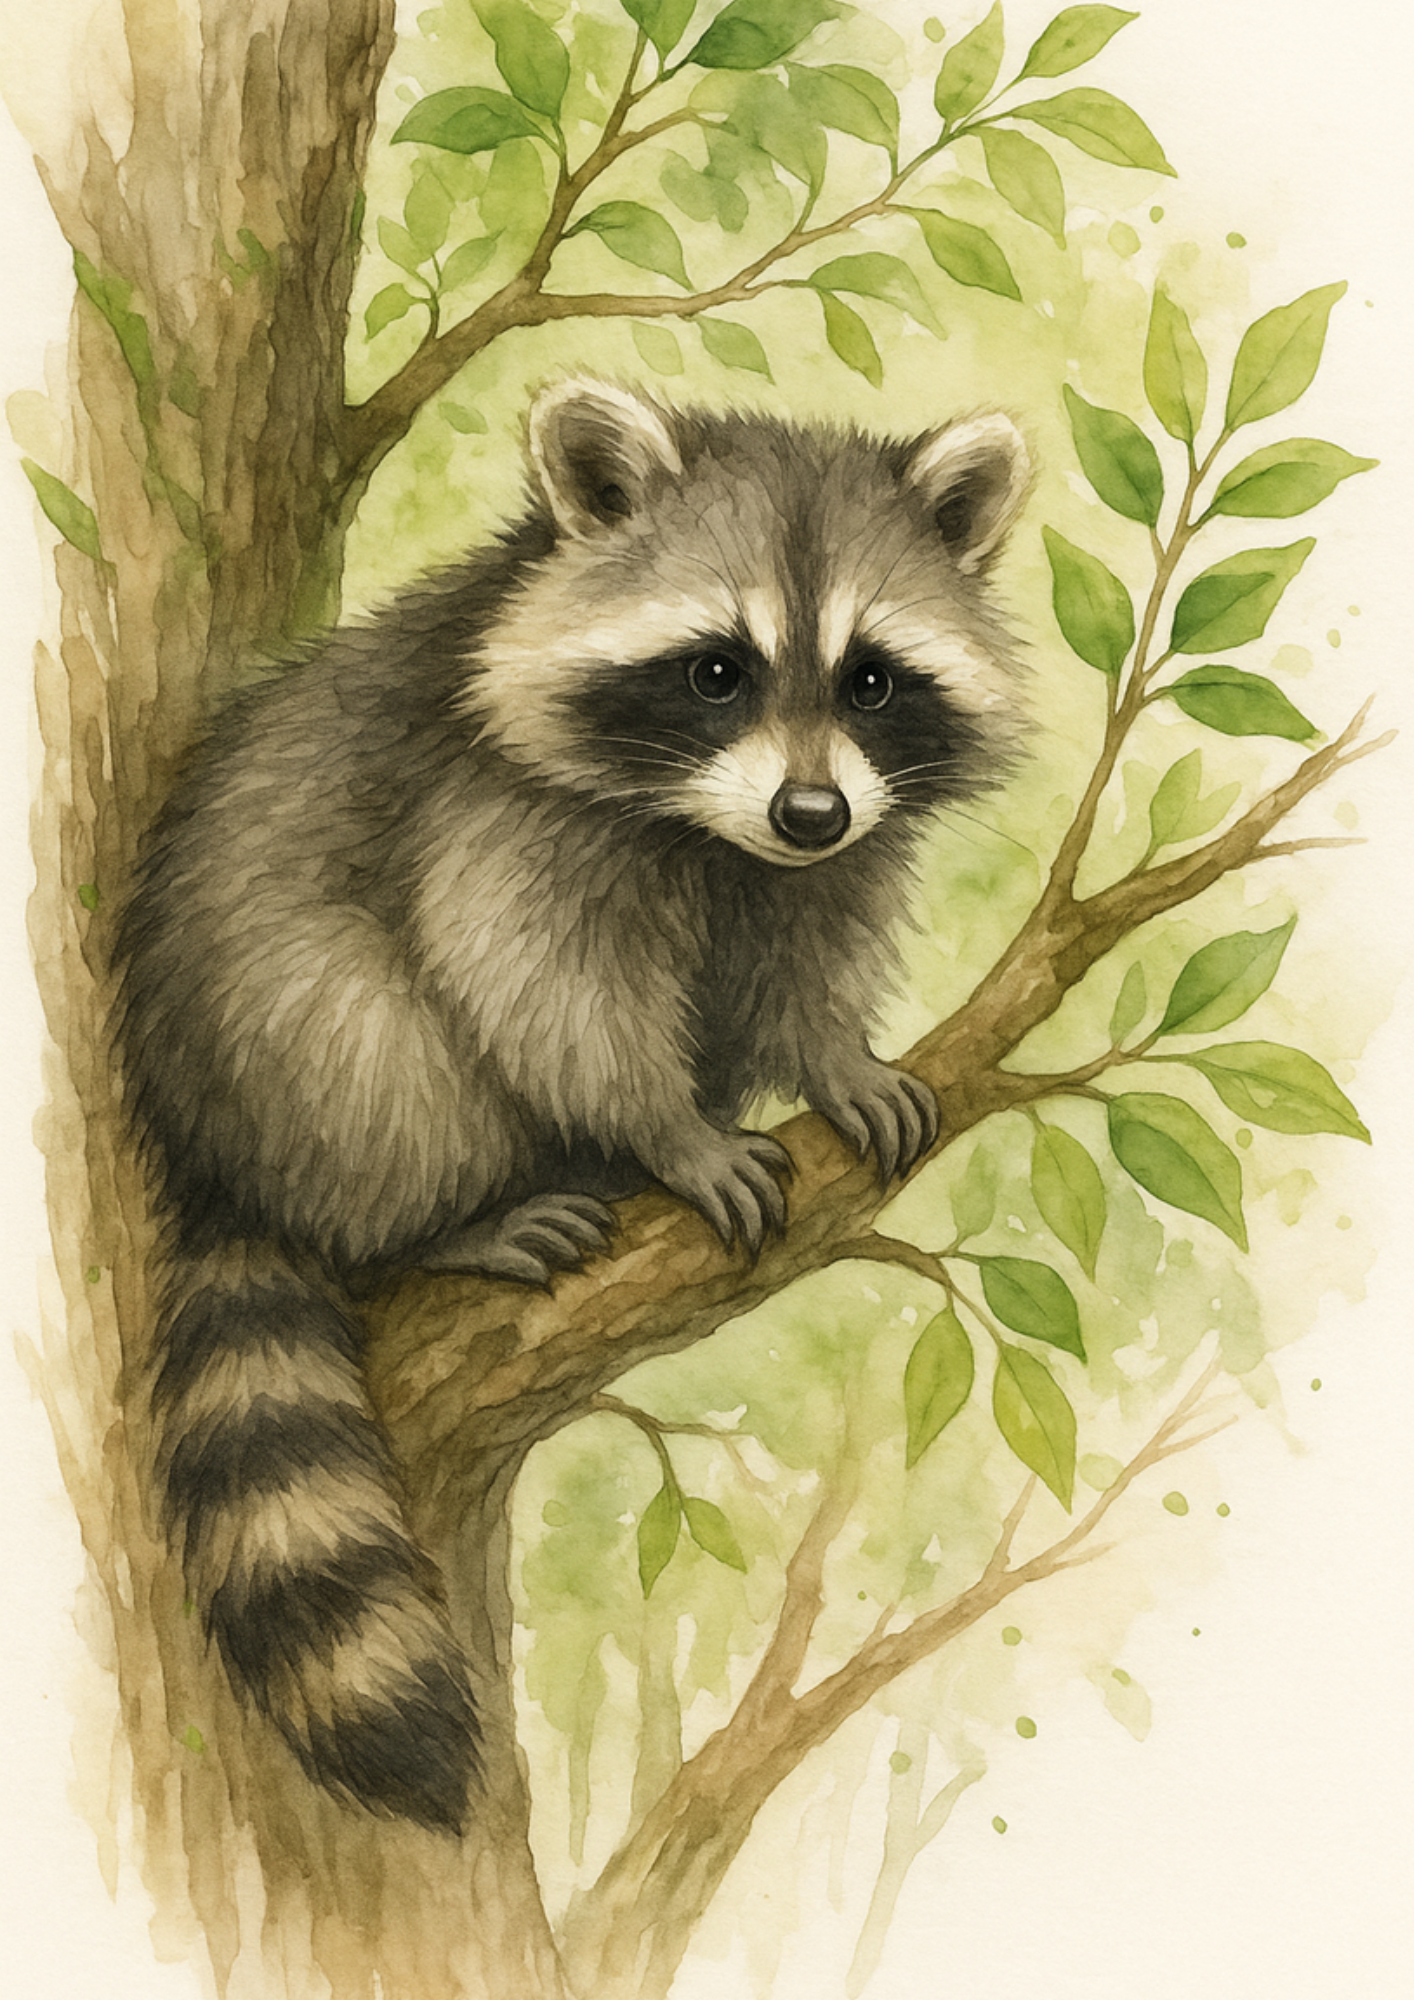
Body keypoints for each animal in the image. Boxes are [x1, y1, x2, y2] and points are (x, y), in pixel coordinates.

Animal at [115, 379, 1030, 1835]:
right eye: (717, 669)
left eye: (871, 677)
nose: (807, 809)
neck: (712, 828)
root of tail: (209, 1153)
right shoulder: (502, 810)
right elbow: (534, 979)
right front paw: (666, 1130)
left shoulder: (836, 850)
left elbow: (805, 956)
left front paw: (833, 1056)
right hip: (282, 1038)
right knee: (373, 1038)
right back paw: (443, 1221)